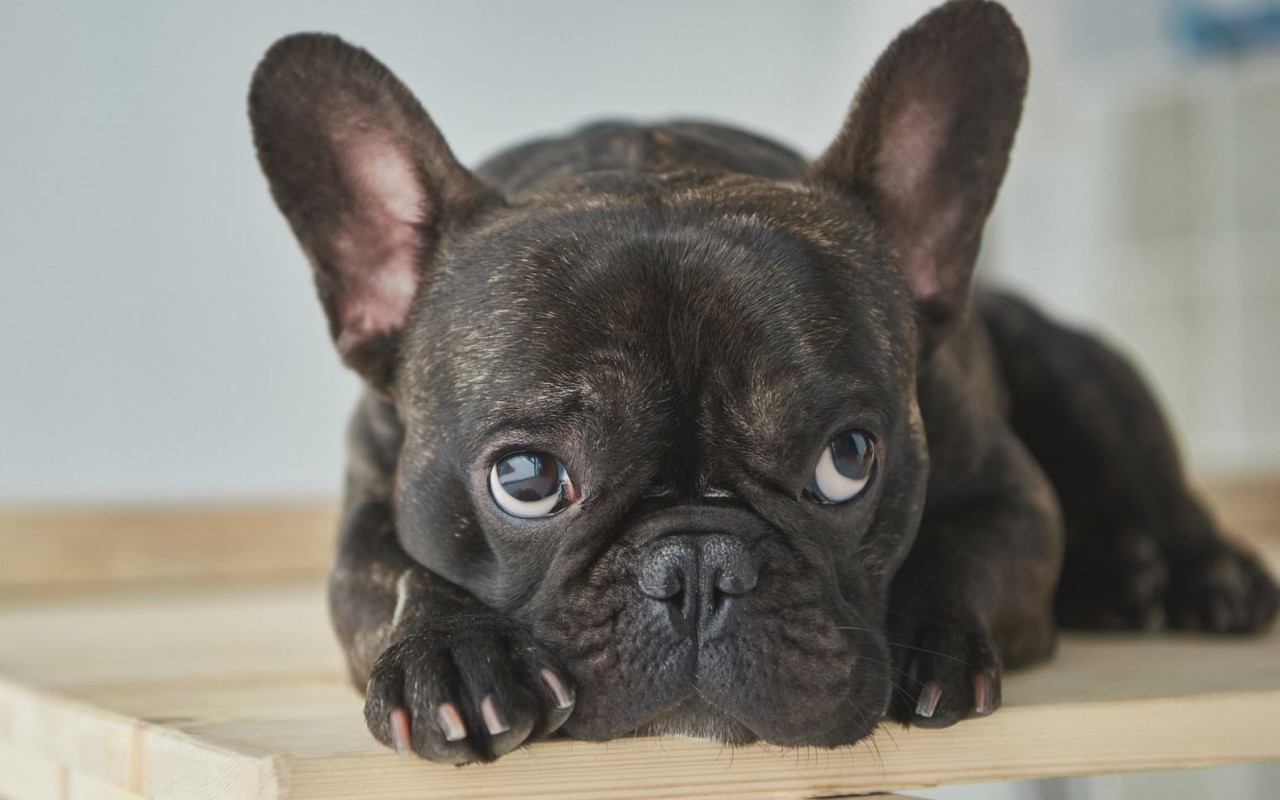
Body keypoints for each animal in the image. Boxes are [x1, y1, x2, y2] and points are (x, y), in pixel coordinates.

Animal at [247, 0, 1269, 762]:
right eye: (526, 479)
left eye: (847, 461)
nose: (697, 569)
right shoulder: (365, 511)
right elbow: (390, 574)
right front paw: (449, 655)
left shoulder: (1013, 498)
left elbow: (967, 548)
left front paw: (933, 640)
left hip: (1075, 369)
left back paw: (1196, 573)